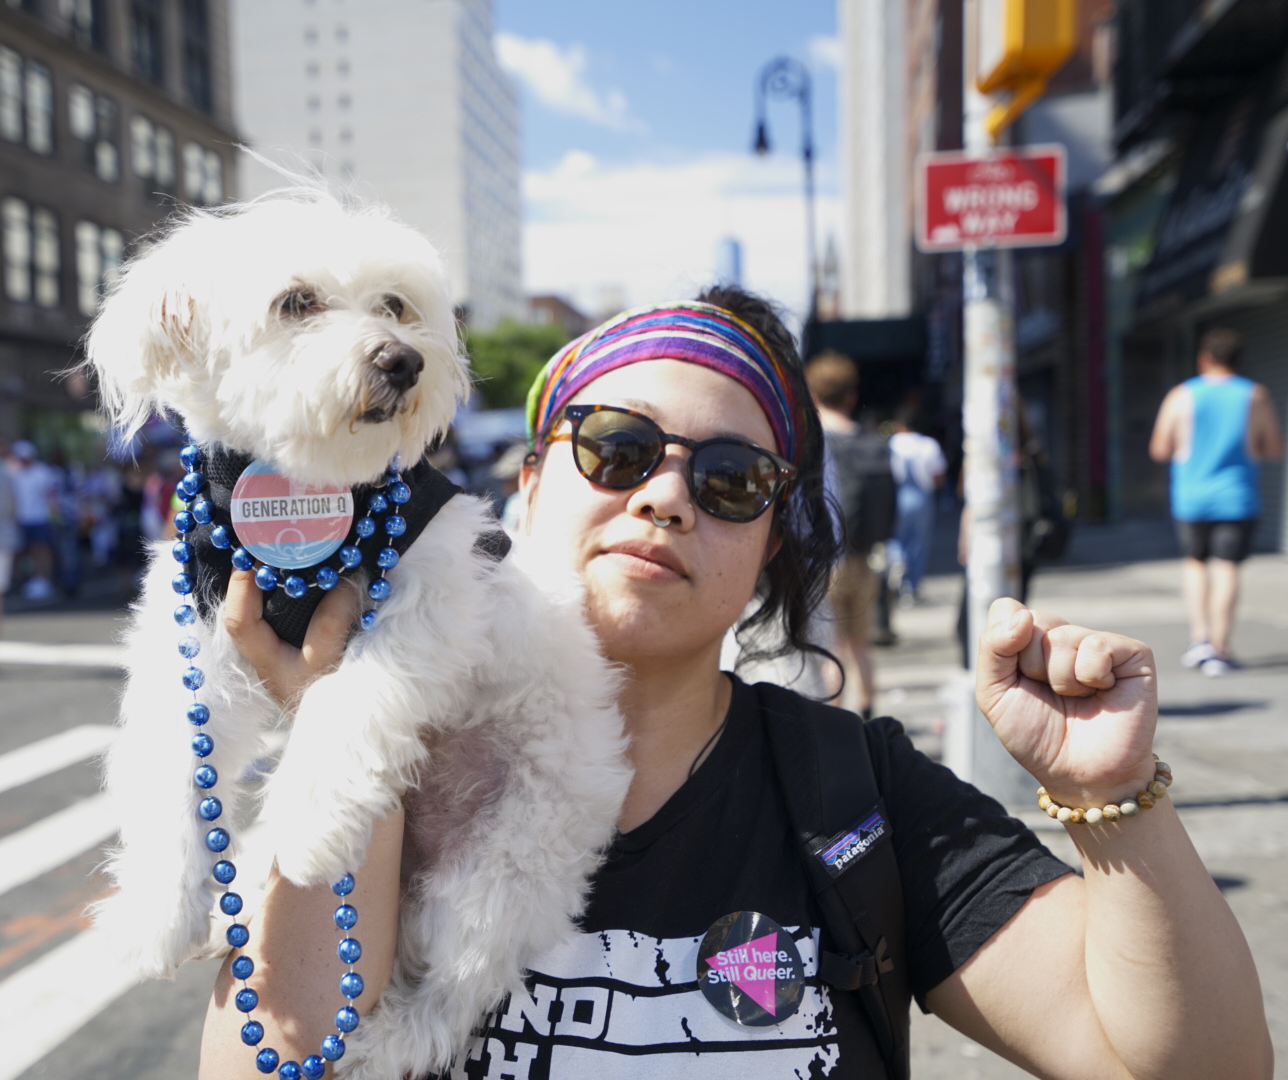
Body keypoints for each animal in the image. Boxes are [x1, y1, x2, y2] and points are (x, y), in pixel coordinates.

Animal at [88, 190, 631, 1076]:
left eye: (396, 307)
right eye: (296, 302)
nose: (402, 361)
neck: (304, 494)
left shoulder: (426, 608)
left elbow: (350, 701)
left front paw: (313, 824)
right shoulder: (194, 633)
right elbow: (172, 770)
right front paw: (157, 915)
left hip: (503, 870)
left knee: (453, 995)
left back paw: (381, 1042)